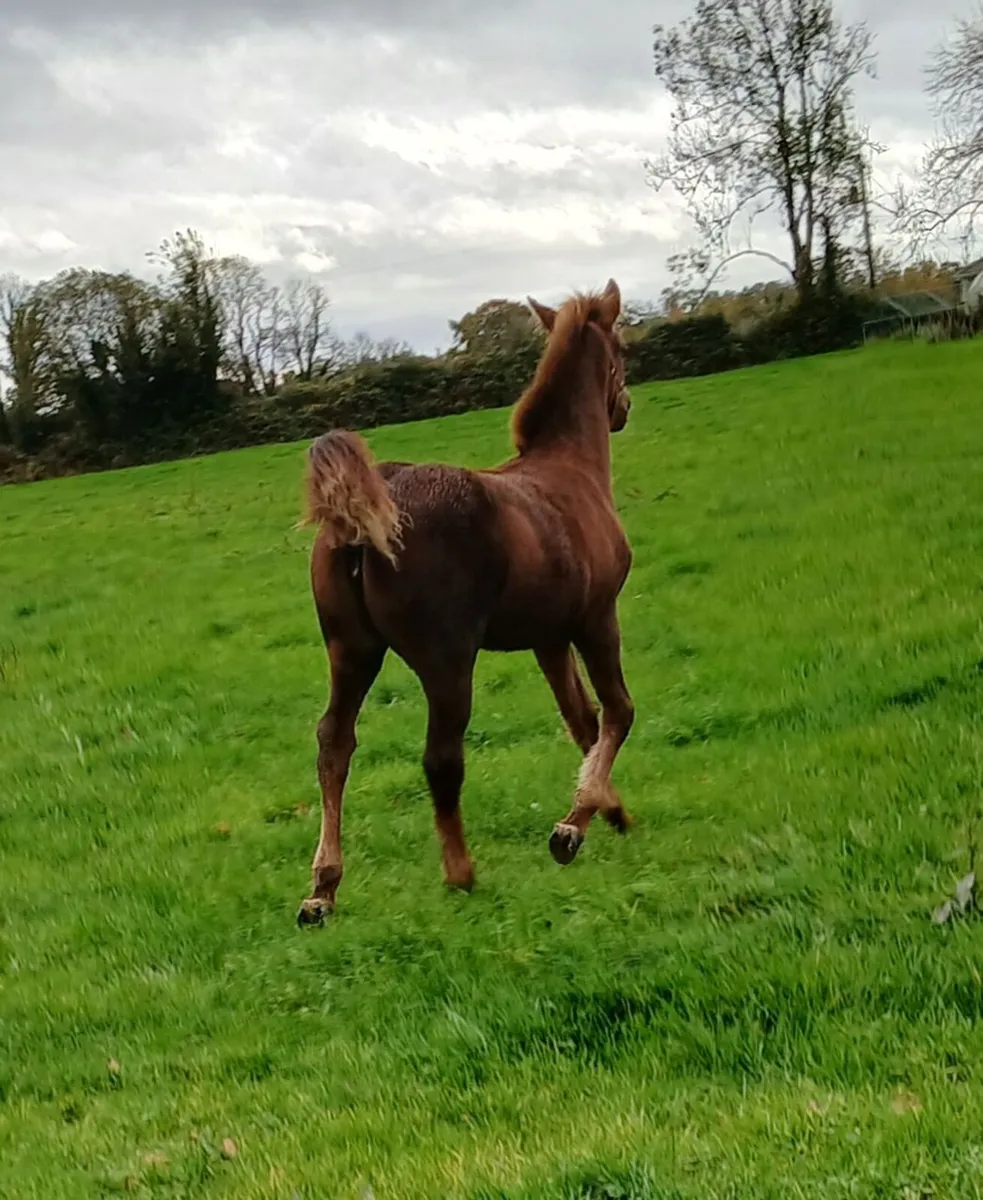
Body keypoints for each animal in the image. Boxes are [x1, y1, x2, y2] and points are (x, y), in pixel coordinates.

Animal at [296, 278, 636, 924]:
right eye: (623, 349)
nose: (624, 407)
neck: (571, 469)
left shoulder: (548, 636)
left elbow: (581, 719)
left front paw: (611, 812)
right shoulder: (596, 617)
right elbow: (618, 711)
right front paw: (572, 827)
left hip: (350, 651)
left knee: (333, 743)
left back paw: (322, 889)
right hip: (447, 660)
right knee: (441, 757)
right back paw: (460, 872)